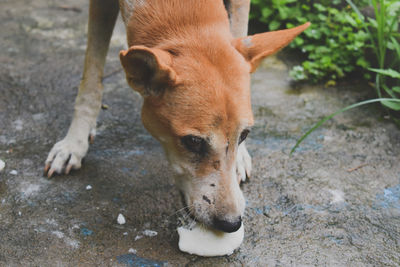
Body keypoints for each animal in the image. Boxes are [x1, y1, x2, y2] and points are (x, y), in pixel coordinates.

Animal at [43, 0, 308, 233]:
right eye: (193, 141)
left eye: (244, 135)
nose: (232, 224)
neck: (187, 15)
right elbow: (91, 74)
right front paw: (74, 143)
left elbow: (239, 31)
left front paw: (240, 156)